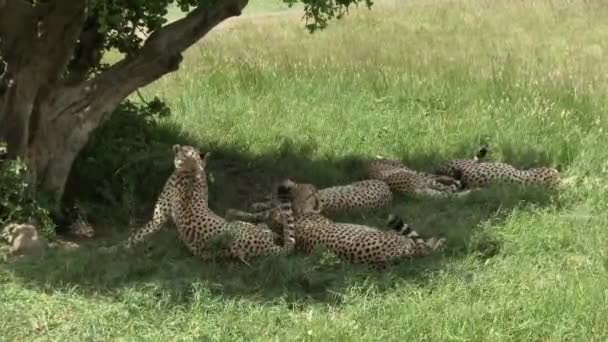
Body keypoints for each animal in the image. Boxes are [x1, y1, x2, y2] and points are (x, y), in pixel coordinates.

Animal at [101, 145, 294, 262]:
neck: (190, 166)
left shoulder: (158, 218)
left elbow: (136, 235)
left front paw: (109, 249)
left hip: (240, 225)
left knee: (266, 229)